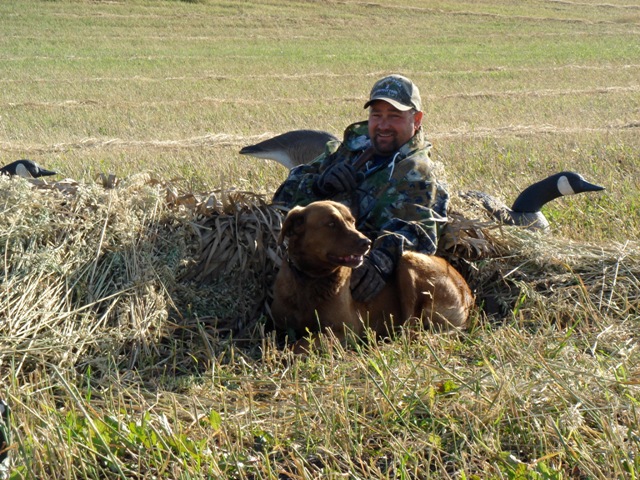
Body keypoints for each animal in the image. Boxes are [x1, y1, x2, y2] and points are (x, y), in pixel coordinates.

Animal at [268, 201, 472, 350]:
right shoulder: (280, 326)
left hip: (408, 260)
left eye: (351, 221)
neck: (309, 280)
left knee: (411, 328)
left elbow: (301, 344)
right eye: (331, 223)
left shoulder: (346, 331)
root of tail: (468, 295)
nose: (366, 242)